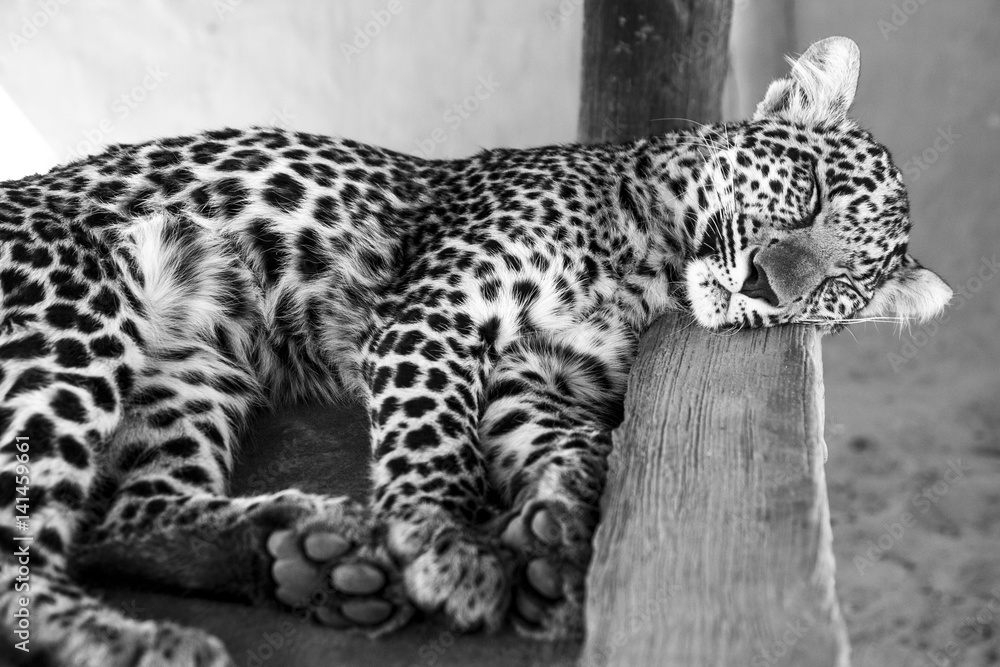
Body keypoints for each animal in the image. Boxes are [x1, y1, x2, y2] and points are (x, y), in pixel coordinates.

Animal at [0, 36, 950, 666]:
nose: (768, 286)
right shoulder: (437, 310)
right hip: (77, 311)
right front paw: (449, 544)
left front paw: (558, 530)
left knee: (132, 514)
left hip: (193, 367)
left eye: (842, 285)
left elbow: (579, 442)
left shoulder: (532, 375)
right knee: (24, 560)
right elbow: (436, 441)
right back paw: (139, 637)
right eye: (811, 190)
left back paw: (304, 550)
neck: (652, 264)